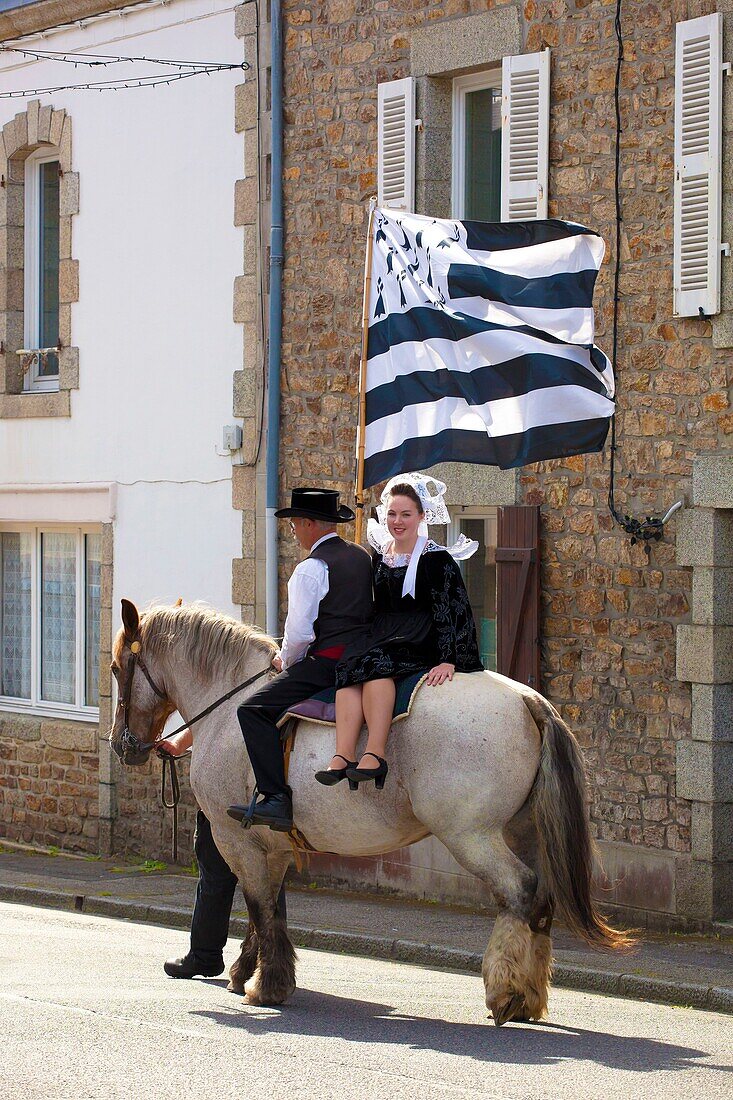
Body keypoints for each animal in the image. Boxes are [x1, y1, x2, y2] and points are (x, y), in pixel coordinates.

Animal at [108, 598, 629, 1025]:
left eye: (116, 668)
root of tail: (528, 699)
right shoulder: (270, 845)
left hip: (474, 837)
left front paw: (266, 986)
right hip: (523, 832)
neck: (230, 702)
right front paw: (250, 972)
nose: (122, 745)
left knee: (520, 893)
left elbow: (257, 905)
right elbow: (269, 909)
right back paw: (530, 995)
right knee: (541, 904)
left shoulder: (233, 837)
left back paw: (506, 993)